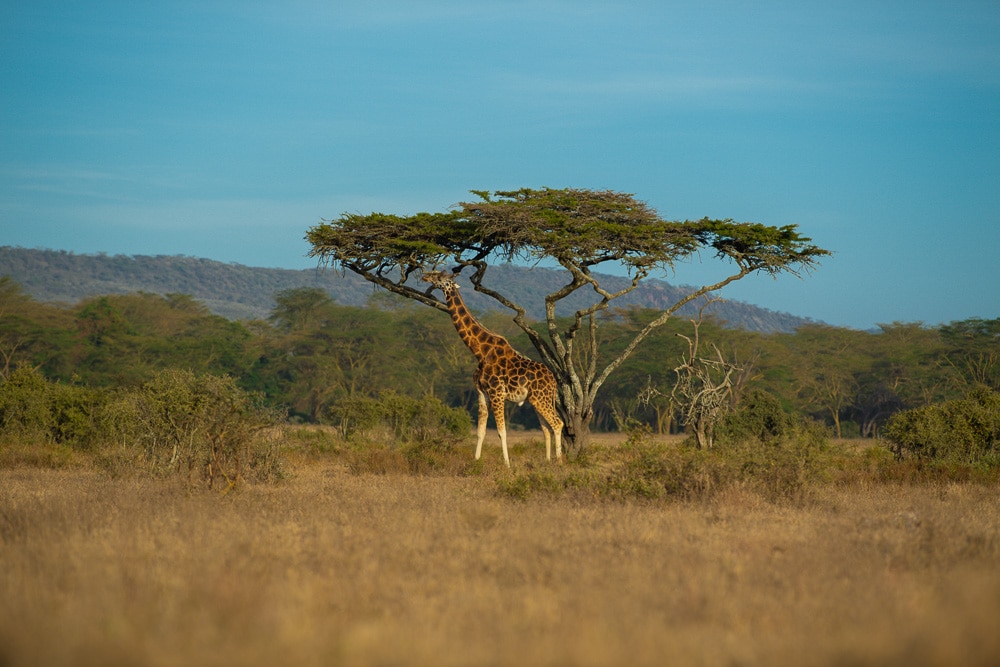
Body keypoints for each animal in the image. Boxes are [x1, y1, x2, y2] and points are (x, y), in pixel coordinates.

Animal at [422, 268, 564, 468]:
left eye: (440, 277)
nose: (424, 276)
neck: (480, 352)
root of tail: (554, 381)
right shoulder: (482, 393)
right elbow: (480, 432)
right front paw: (475, 462)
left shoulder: (497, 392)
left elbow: (501, 431)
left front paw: (507, 465)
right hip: (536, 399)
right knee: (546, 428)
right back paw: (547, 461)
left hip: (540, 398)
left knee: (557, 423)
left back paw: (559, 462)